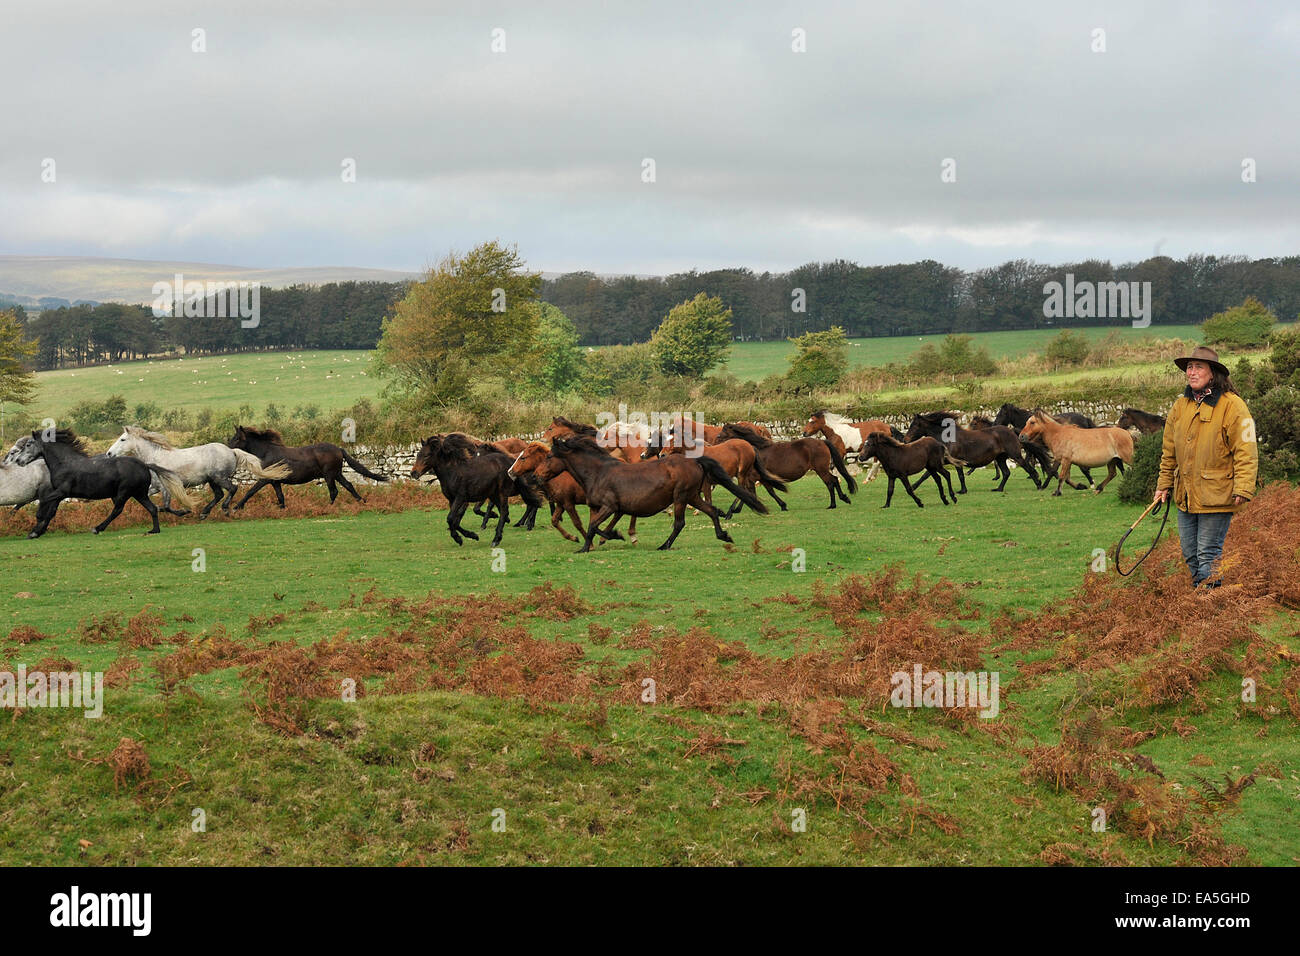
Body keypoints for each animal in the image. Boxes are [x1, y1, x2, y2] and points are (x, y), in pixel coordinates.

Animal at [105, 426, 291, 515]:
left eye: (122, 439)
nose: (109, 454)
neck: (156, 457)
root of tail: (232, 451)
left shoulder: (165, 487)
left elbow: (166, 506)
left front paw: (185, 511)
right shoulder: (155, 488)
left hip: (219, 477)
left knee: (232, 489)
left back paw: (225, 509)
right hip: (211, 480)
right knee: (219, 494)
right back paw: (204, 512)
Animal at [227, 421, 384, 504]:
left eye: (236, 438)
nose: (227, 448)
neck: (266, 452)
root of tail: (338, 449)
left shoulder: (265, 478)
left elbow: (250, 492)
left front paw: (236, 508)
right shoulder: (275, 481)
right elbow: (280, 497)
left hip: (329, 475)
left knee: (334, 491)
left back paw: (329, 507)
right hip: (337, 473)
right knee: (349, 486)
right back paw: (362, 502)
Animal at [543, 434, 764, 554]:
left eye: (549, 456)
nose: (538, 475)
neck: (598, 472)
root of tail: (694, 460)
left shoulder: (610, 506)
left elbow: (593, 526)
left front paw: (610, 537)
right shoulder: (606, 508)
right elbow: (593, 526)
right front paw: (590, 545)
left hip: (681, 497)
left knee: (679, 523)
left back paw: (664, 545)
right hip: (692, 496)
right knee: (710, 510)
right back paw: (724, 535)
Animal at [717, 421, 857, 509]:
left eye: (722, 433)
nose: (716, 443)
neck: (757, 450)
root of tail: (822, 442)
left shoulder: (754, 477)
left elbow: (753, 492)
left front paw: (734, 511)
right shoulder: (761, 478)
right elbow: (767, 491)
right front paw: (783, 505)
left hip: (821, 469)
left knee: (831, 482)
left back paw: (836, 503)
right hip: (821, 470)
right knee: (832, 481)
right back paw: (838, 501)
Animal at [909, 411, 1040, 494]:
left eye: (914, 426)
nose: (906, 439)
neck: (948, 439)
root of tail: (1012, 431)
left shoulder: (954, 461)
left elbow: (959, 476)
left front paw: (962, 491)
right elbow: (926, 475)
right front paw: (913, 487)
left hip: (1015, 455)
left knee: (1028, 468)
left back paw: (1038, 484)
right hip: (1000, 458)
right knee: (1006, 473)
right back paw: (998, 489)